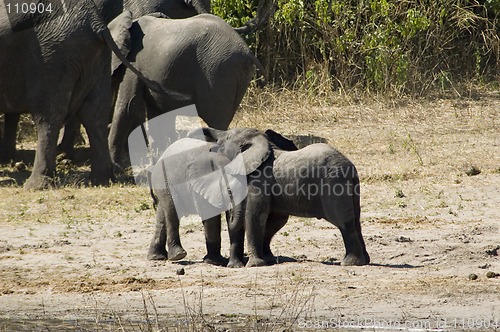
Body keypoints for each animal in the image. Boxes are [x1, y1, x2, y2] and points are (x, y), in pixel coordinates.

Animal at [108, 13, 266, 167]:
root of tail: (246, 50)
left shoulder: (133, 65)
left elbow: (127, 106)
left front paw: (118, 165)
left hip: (218, 72)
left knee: (217, 122)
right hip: (237, 75)